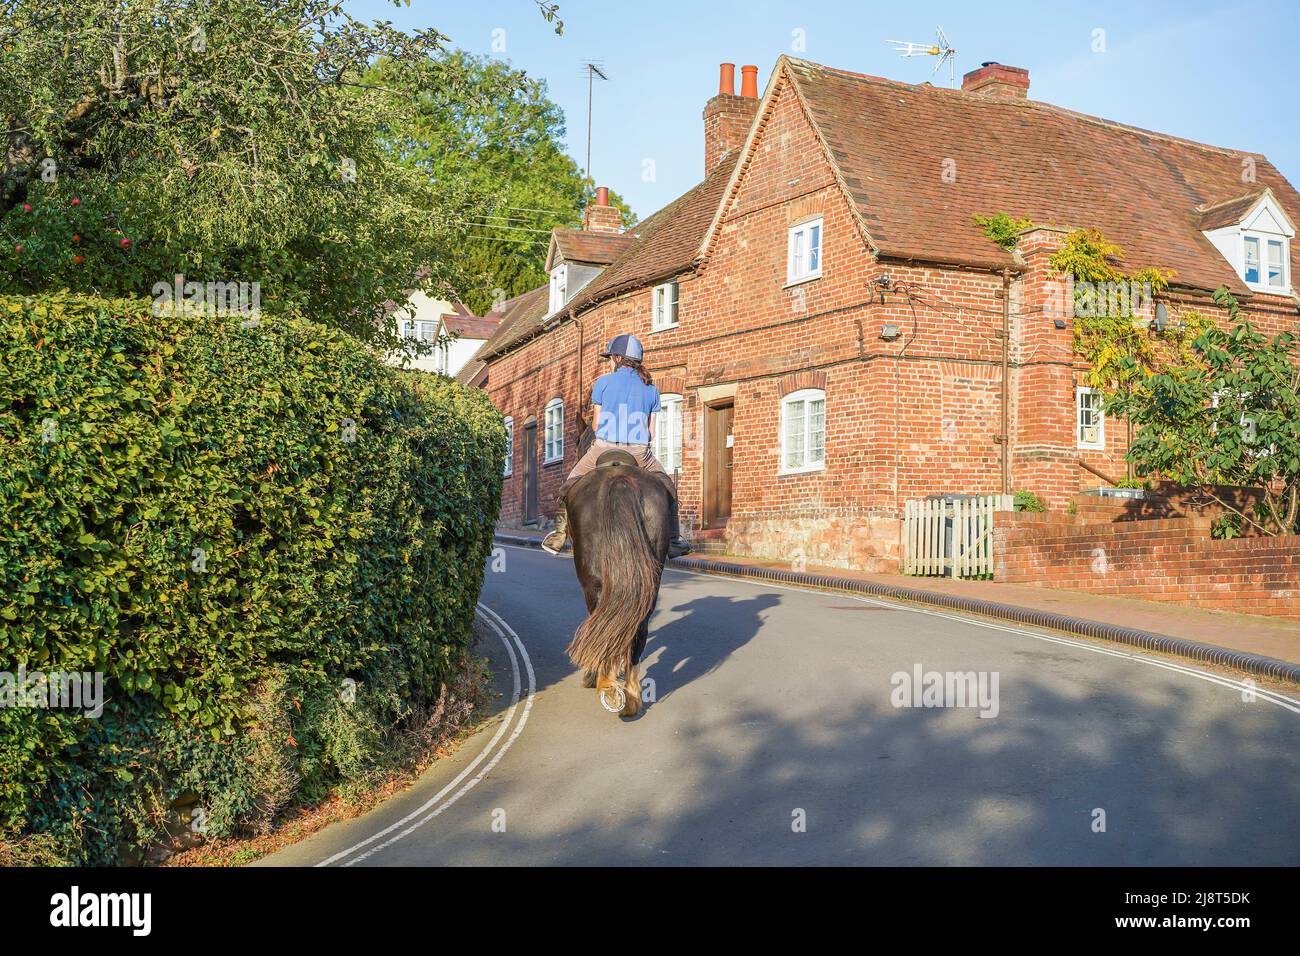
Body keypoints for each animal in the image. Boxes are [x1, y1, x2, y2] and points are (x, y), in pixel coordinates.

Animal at [564, 448, 672, 717]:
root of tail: (619, 479)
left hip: (593, 584)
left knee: (602, 624)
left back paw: (605, 684)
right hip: (651, 581)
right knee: (637, 629)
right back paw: (631, 698)